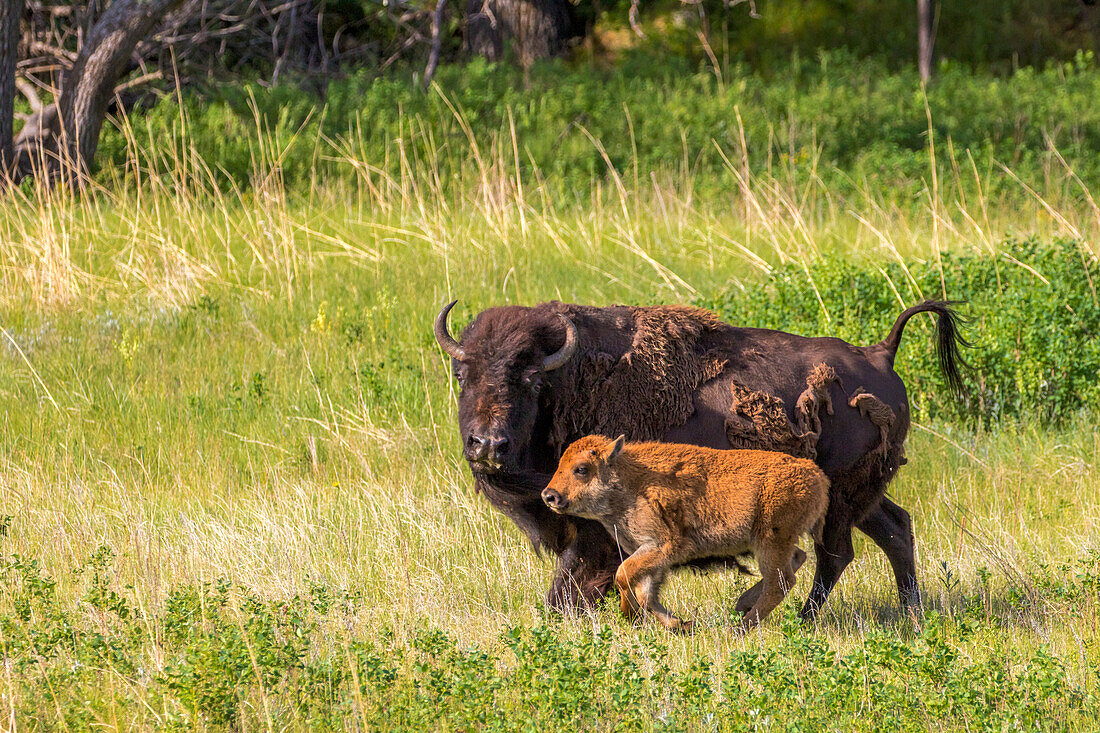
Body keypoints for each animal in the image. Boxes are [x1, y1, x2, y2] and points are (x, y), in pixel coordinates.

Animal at [541, 433, 827, 629]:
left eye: (581, 469)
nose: (549, 496)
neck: (630, 480)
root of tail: (817, 475)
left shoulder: (663, 546)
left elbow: (624, 576)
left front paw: (629, 615)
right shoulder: (650, 555)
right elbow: (646, 593)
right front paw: (681, 625)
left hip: (770, 541)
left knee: (780, 582)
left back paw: (739, 627)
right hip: (772, 542)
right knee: (796, 560)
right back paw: (742, 605)